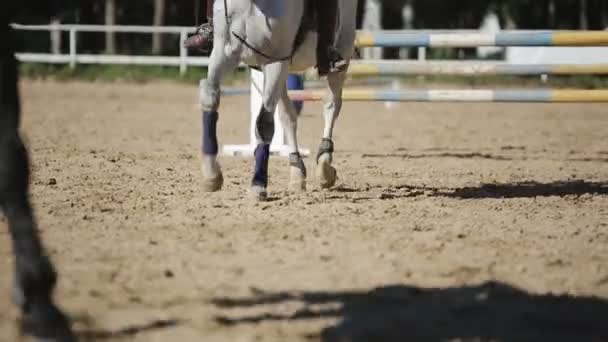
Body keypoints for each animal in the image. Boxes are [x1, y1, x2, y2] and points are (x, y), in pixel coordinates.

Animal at [200, 0, 360, 200]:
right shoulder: (224, 52)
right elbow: (210, 98)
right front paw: (211, 175)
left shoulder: (275, 61)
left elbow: (264, 123)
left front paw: (258, 185)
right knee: (288, 116)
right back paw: (297, 172)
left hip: (342, 48)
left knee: (332, 105)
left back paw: (325, 167)